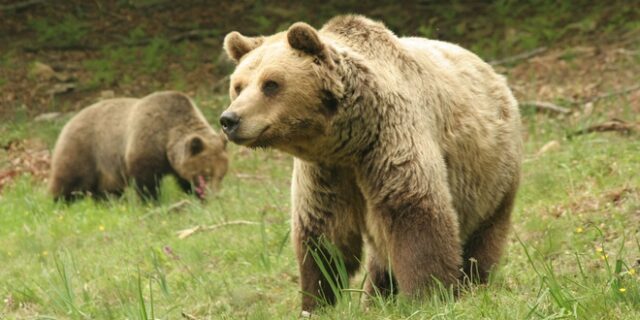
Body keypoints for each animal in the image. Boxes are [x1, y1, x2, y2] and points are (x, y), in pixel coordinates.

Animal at [220, 15, 520, 312]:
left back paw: (475, 283)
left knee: (484, 235)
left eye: (271, 84)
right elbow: (324, 235)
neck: (350, 141)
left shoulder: (389, 142)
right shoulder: (326, 173)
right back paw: (378, 297)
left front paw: (429, 295)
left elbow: (416, 217)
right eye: (238, 86)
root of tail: (494, 73)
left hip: (491, 175)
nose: (229, 119)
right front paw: (316, 302)